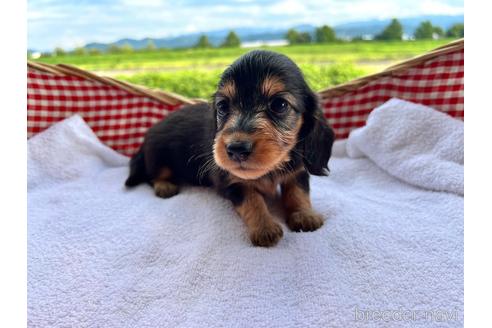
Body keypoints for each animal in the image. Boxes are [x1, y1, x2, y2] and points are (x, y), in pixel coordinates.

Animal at [125, 50, 336, 246]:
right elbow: (253, 200)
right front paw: (264, 228)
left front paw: (304, 215)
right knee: (152, 176)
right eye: (223, 106)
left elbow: (298, 192)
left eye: (279, 104)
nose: (236, 149)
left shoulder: (298, 170)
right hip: (159, 158)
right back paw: (164, 186)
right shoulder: (232, 182)